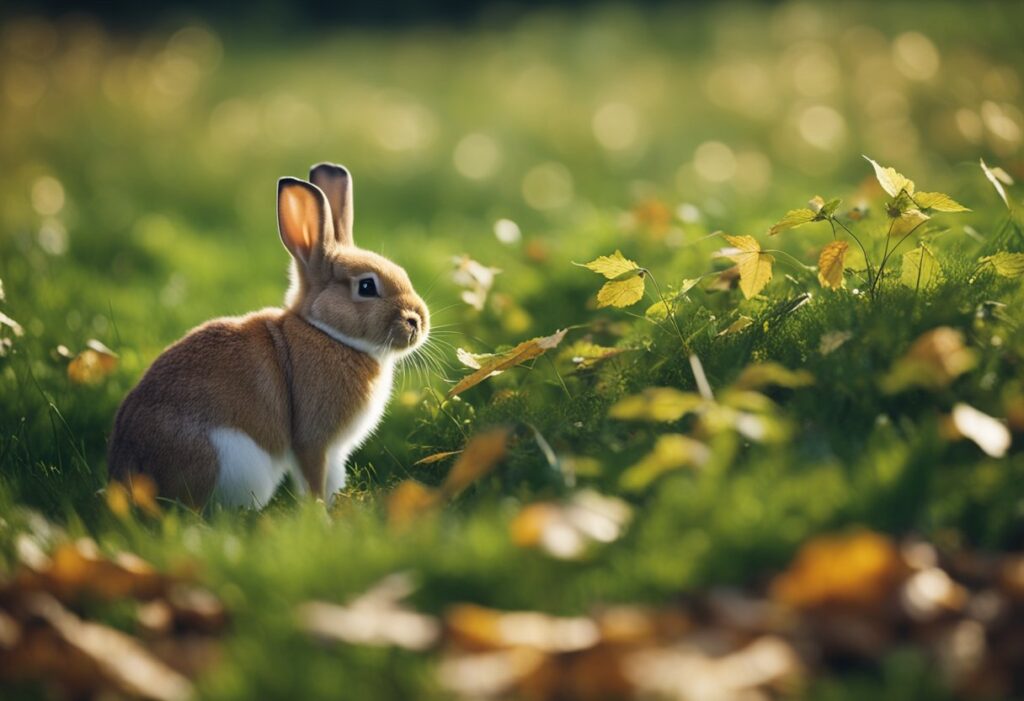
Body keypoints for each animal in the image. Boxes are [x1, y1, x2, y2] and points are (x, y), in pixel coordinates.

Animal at [107, 163, 429, 509]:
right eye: (367, 287)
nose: (417, 321)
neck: (327, 333)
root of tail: (128, 480)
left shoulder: (334, 451)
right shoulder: (312, 441)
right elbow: (314, 480)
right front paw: (320, 515)